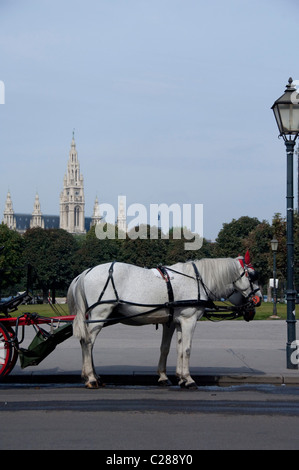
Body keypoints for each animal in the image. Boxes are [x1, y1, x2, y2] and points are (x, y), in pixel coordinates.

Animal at [69, 255, 262, 388]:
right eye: (252, 276)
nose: (259, 299)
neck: (197, 280)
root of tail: (85, 272)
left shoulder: (174, 322)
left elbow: (172, 348)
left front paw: (175, 377)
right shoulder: (189, 320)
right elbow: (187, 349)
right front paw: (188, 379)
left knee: (87, 342)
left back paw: (93, 375)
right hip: (99, 315)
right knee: (88, 342)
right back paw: (91, 377)